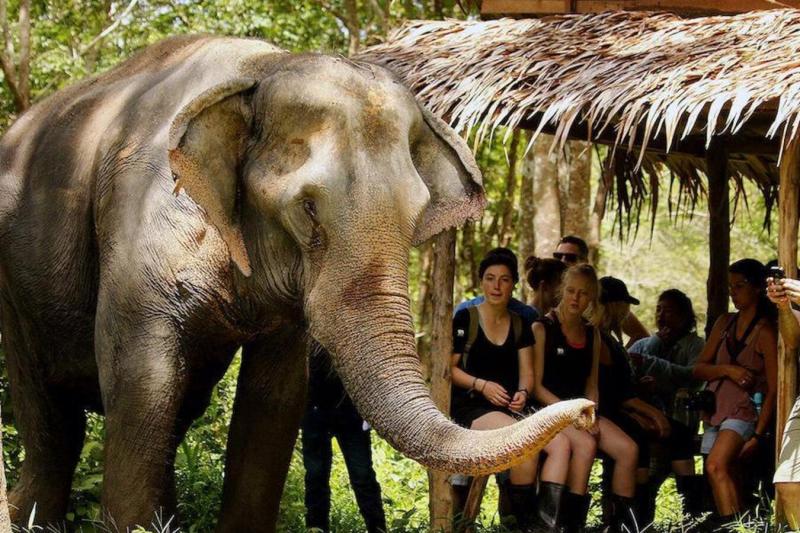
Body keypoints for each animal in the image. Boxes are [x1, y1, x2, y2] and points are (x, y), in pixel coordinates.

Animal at [0, 35, 594, 532]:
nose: (588, 410)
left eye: (416, 215)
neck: (262, 70)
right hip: (14, 289)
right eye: (307, 209)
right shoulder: (138, 226)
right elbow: (140, 378)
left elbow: (274, 400)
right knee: (57, 425)